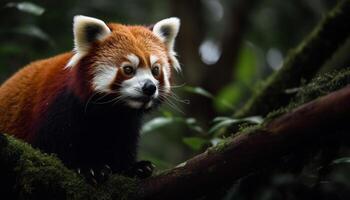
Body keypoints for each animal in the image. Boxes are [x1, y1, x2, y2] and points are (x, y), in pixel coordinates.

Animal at [0, 15, 180, 178]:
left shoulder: (126, 123)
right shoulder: (58, 109)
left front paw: (132, 167)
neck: (111, 111)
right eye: (128, 69)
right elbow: (57, 146)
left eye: (155, 70)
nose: (150, 88)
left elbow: (123, 144)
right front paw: (89, 167)